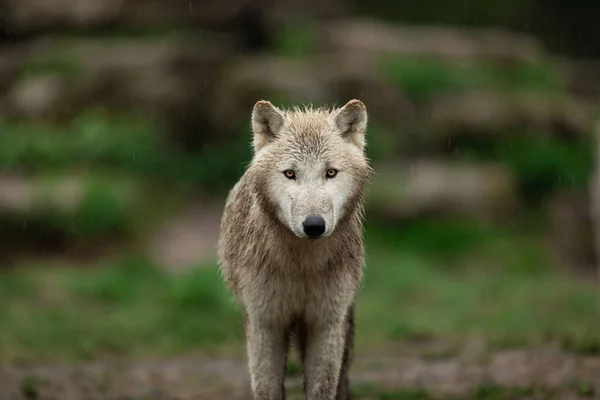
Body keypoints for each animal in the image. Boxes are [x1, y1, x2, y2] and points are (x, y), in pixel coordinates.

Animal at [218, 97, 372, 400]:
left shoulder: (325, 324)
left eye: (330, 172)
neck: (302, 266)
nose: (314, 225)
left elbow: (322, 388)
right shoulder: (265, 323)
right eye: (290, 173)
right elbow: (267, 389)